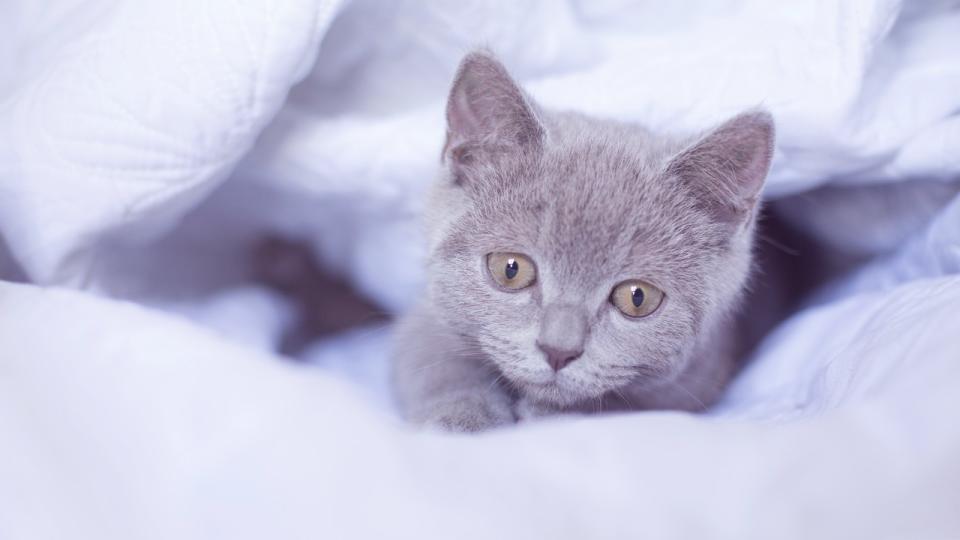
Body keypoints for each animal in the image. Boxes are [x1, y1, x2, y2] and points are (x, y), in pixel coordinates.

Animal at [390, 50, 772, 430]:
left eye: (638, 298)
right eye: (510, 269)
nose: (558, 351)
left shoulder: (700, 375)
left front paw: (549, 415)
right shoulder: (427, 317)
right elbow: (435, 361)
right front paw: (463, 419)